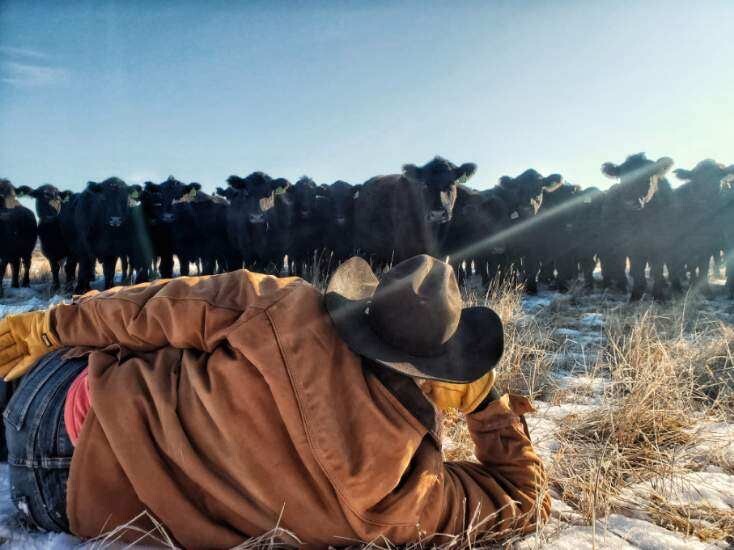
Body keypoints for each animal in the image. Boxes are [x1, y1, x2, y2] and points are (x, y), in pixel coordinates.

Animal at [600, 155, 676, 302]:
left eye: (647, 176)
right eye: (622, 177)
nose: (630, 202)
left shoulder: (662, 242)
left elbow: (657, 268)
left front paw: (659, 296)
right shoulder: (631, 244)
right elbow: (637, 268)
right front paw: (635, 295)